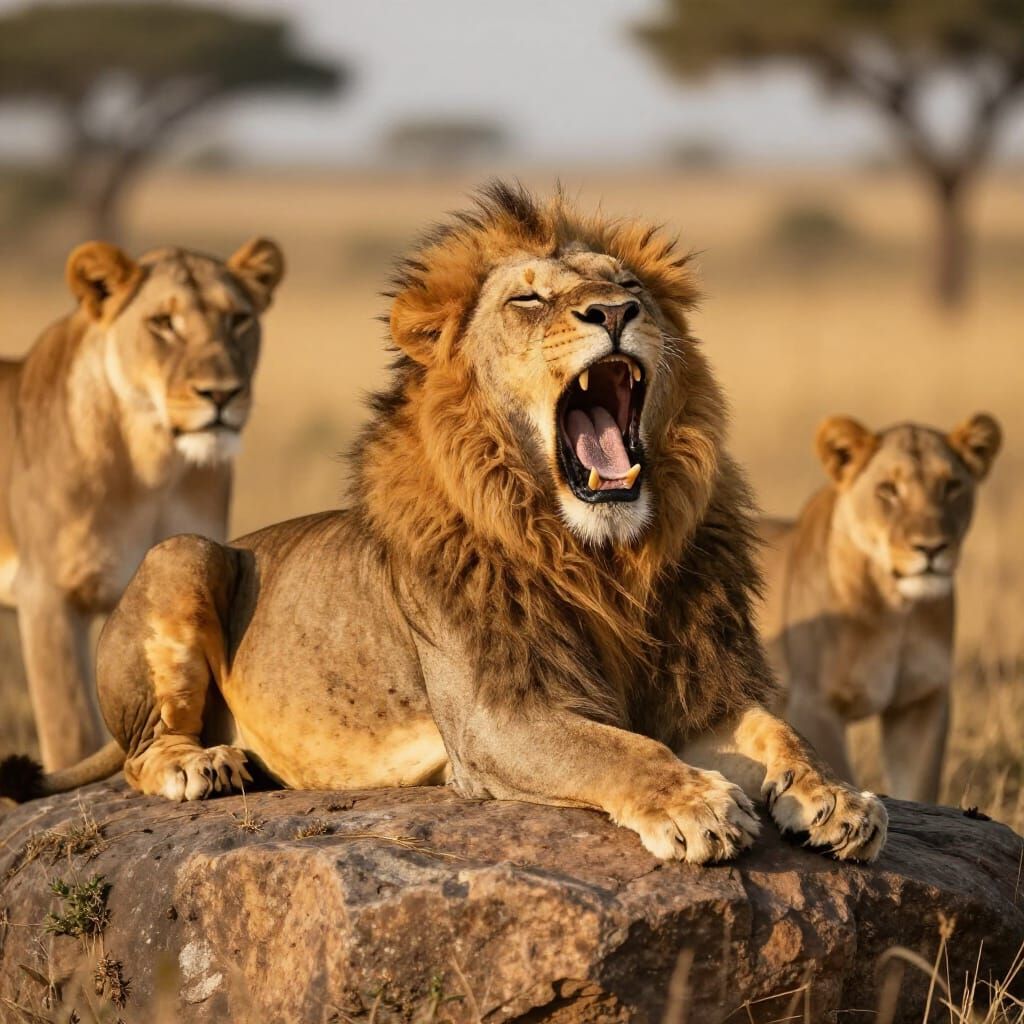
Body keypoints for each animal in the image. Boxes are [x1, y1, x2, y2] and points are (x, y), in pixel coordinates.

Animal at [0, 237, 284, 772]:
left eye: (238, 319)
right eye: (163, 323)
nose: (222, 394)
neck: (153, 467)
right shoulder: (45, 596)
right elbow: (72, 738)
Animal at [758, 414, 1001, 803]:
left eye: (951, 486)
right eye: (888, 489)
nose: (931, 548)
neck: (898, 610)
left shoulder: (920, 702)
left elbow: (918, 789)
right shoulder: (815, 703)